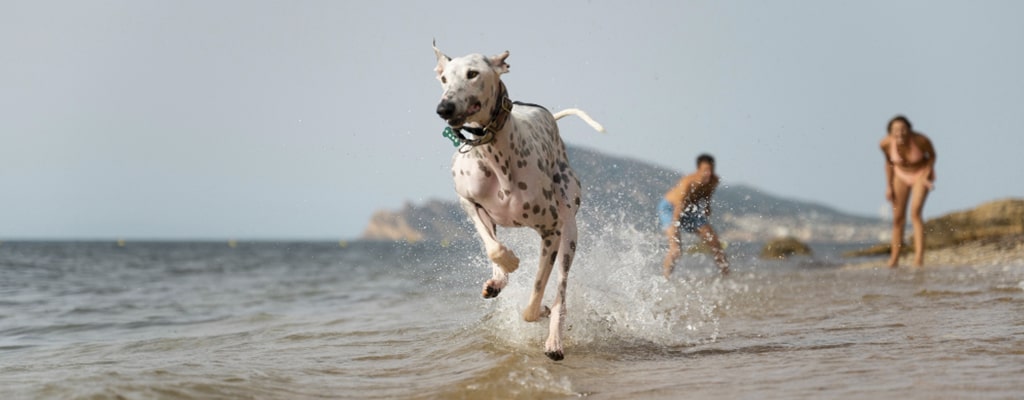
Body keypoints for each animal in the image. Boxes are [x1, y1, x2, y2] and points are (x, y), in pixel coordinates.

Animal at [430, 42, 602, 362]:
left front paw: (541, 309)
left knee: (560, 292)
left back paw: (554, 339)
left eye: (472, 74)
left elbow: (534, 300)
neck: (493, 153)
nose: (443, 108)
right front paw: (508, 263)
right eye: (444, 79)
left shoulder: (551, 231)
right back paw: (498, 280)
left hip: (569, 231)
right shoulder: (468, 202)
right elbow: (494, 248)